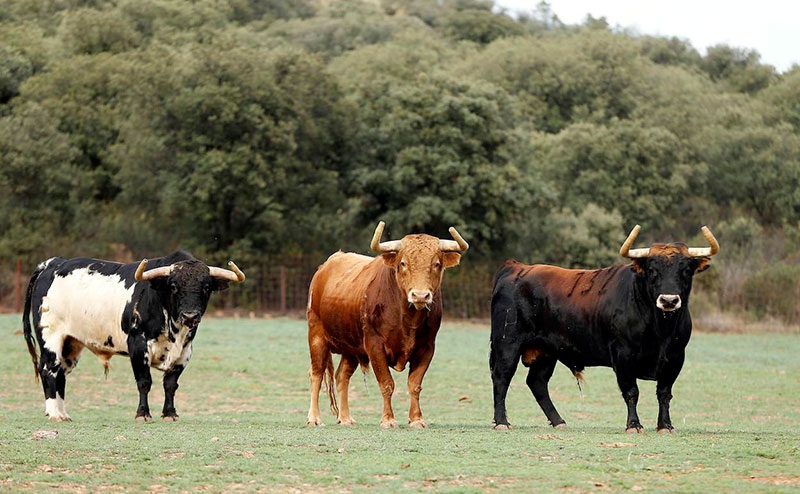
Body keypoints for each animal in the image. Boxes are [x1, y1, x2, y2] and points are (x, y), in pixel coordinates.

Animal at [24, 251, 244, 420]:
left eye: (206, 287)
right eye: (173, 286)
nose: (190, 315)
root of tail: (53, 263)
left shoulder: (185, 351)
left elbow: (170, 384)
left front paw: (170, 413)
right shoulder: (138, 345)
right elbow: (144, 382)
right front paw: (143, 414)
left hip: (71, 343)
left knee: (61, 373)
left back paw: (63, 414)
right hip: (51, 337)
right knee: (49, 370)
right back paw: (54, 414)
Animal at [306, 222, 468, 426]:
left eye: (436, 264)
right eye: (403, 263)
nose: (420, 296)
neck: (407, 319)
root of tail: (327, 265)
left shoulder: (427, 348)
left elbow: (415, 384)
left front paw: (416, 419)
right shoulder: (374, 345)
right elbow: (386, 383)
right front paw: (388, 420)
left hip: (352, 348)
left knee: (342, 376)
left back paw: (346, 418)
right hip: (316, 336)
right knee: (317, 374)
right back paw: (314, 418)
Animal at [488, 226, 720, 434]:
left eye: (686, 271)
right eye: (652, 270)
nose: (669, 300)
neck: (659, 329)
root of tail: (516, 268)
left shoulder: (675, 357)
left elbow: (664, 393)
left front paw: (665, 425)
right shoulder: (623, 355)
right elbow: (631, 391)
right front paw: (633, 425)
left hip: (546, 352)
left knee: (537, 382)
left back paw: (558, 421)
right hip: (507, 343)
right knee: (502, 378)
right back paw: (501, 422)